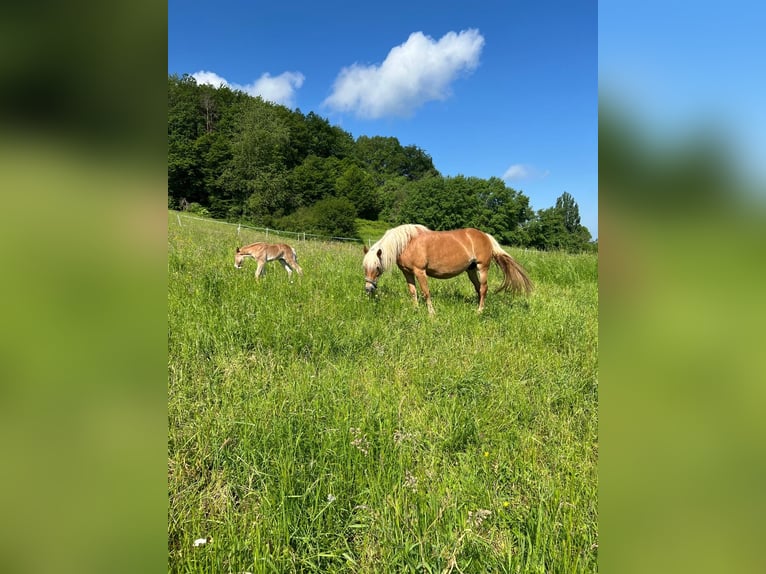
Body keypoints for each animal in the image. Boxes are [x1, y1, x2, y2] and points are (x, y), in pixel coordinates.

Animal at [364, 225, 536, 316]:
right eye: (364, 268)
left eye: (377, 267)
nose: (368, 289)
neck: (408, 243)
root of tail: (485, 235)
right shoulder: (408, 273)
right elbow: (413, 292)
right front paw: (415, 309)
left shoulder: (420, 271)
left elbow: (426, 292)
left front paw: (431, 314)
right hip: (471, 270)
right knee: (478, 289)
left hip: (482, 268)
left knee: (484, 288)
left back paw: (479, 310)